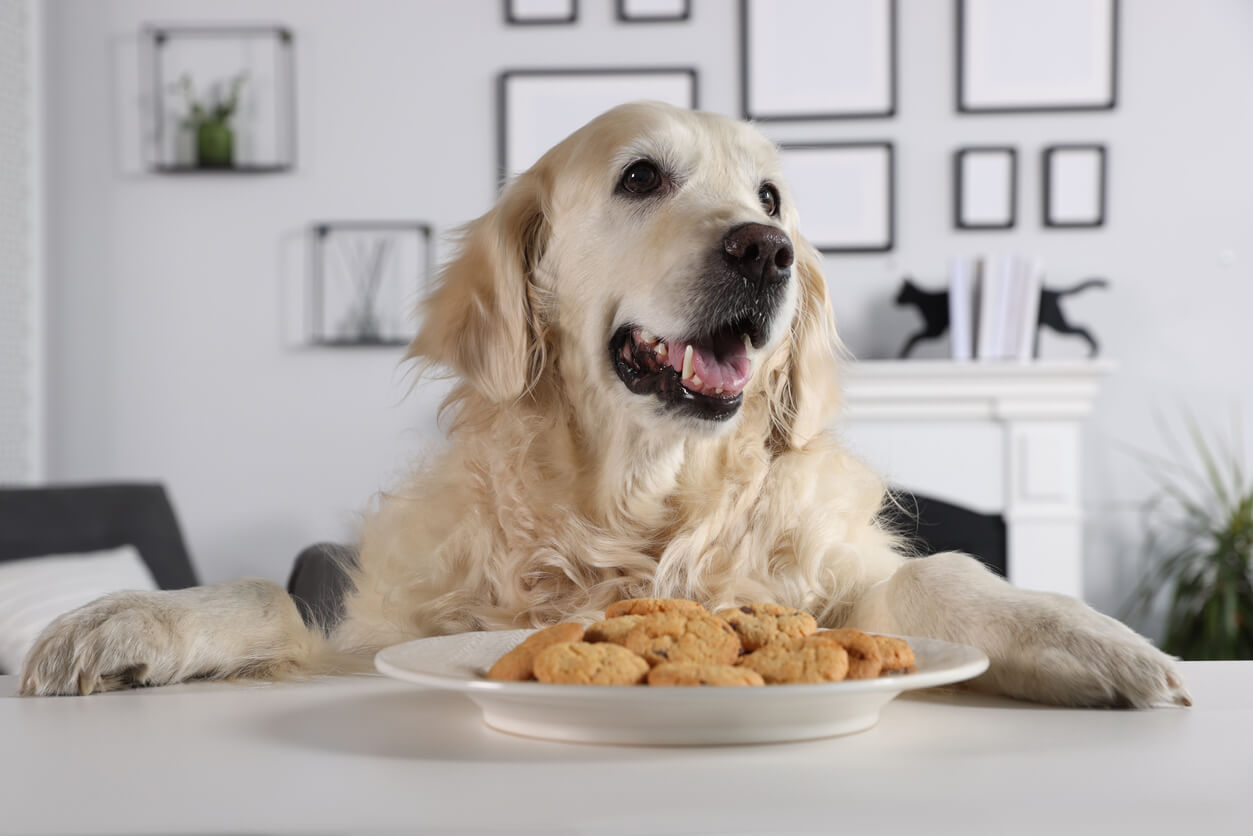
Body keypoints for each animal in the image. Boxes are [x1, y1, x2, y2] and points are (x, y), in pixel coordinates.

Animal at [24, 101, 1187, 711]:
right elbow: (267, 593)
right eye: (639, 178)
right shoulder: (385, 633)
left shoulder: (837, 585)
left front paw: (1089, 639)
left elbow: (940, 575)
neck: (641, 507)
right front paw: (121, 620)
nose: (767, 252)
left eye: (771, 198)